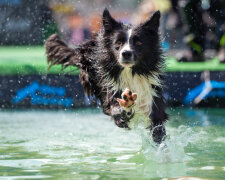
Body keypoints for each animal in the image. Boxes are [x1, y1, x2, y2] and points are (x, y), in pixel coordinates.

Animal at [45, 8, 168, 143]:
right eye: (118, 42)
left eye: (139, 42)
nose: (126, 53)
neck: (130, 73)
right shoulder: (110, 88)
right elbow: (115, 108)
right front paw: (124, 110)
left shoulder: (153, 98)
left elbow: (158, 132)